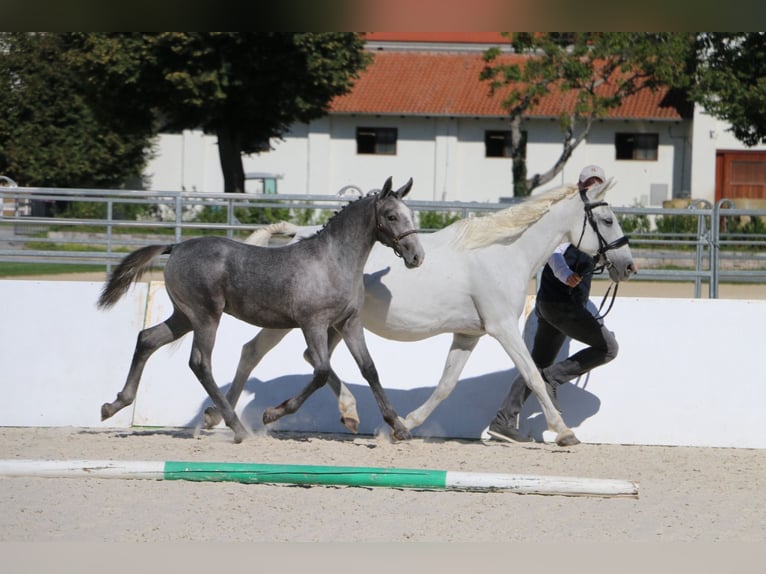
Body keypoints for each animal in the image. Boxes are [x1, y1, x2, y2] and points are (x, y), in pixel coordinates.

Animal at [96, 176, 425, 443]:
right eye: (392, 216)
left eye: (411, 214)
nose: (417, 256)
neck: (333, 262)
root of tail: (176, 247)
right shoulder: (313, 324)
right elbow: (320, 371)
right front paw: (272, 414)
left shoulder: (348, 323)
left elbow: (370, 369)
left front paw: (399, 427)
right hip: (205, 316)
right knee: (200, 363)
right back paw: (236, 427)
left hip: (184, 316)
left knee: (147, 339)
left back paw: (114, 405)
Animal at [206, 179, 635, 446]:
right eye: (607, 219)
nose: (627, 266)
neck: (503, 253)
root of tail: (296, 235)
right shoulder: (502, 328)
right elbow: (532, 373)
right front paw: (564, 432)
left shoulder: (469, 334)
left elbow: (445, 386)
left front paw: (403, 426)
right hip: (299, 321)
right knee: (264, 353)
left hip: (327, 324)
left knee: (288, 356)